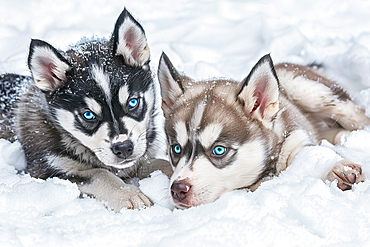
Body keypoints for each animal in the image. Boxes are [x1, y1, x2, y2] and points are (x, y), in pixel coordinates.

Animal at [157, 52, 370, 208]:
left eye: (218, 150)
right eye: (176, 149)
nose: (177, 190)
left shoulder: (296, 137)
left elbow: (311, 154)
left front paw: (335, 168)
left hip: (308, 90)